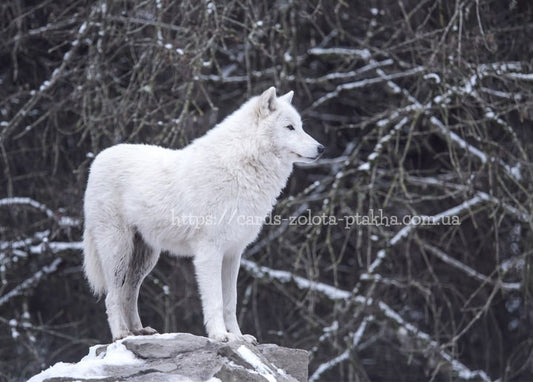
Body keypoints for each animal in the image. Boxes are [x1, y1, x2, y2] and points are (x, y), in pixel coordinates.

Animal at [83, 87, 324, 344]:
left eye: (301, 126)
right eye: (290, 127)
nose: (322, 148)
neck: (241, 168)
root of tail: (98, 158)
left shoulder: (233, 254)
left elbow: (231, 302)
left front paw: (239, 337)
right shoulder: (209, 252)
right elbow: (216, 301)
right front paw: (220, 335)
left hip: (145, 258)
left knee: (129, 292)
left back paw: (139, 331)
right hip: (118, 251)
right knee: (113, 296)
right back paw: (121, 334)